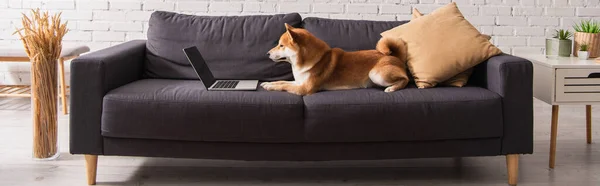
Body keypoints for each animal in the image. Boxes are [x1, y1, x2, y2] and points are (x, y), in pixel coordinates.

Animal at [262, 23, 408, 96]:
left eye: (281, 45)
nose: (267, 53)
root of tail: (395, 57)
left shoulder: (304, 88)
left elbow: (284, 85)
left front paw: (270, 86)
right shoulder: (299, 82)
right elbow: (282, 81)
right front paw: (268, 83)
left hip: (376, 74)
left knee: (405, 79)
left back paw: (392, 88)